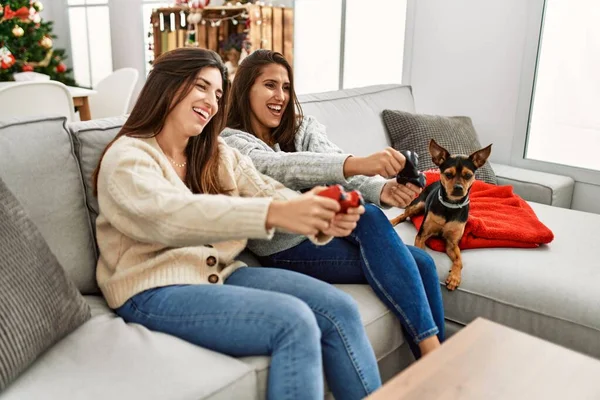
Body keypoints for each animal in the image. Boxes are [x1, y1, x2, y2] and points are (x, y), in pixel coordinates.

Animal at [390, 141, 492, 290]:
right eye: (448, 174)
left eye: (468, 175)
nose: (458, 188)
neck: (450, 205)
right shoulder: (422, 235)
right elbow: (424, 253)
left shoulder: (451, 244)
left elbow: (459, 261)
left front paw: (454, 277)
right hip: (418, 205)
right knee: (403, 215)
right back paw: (392, 221)